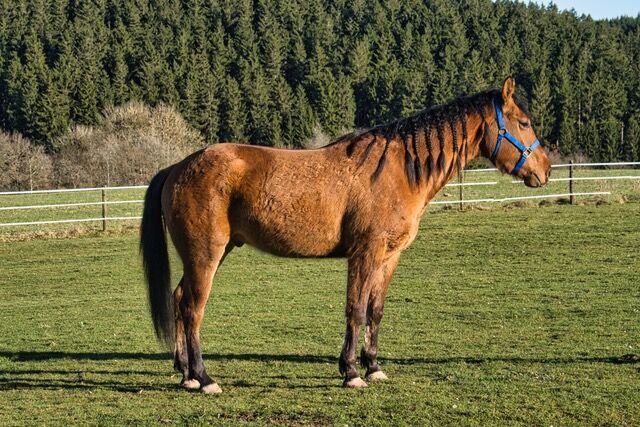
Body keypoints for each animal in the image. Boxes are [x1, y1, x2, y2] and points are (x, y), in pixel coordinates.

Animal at [140, 77, 551, 393]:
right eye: (523, 122)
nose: (545, 170)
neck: (397, 170)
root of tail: (177, 167)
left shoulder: (389, 256)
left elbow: (375, 310)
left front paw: (373, 367)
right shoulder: (364, 253)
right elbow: (355, 309)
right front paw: (351, 372)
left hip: (210, 254)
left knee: (179, 299)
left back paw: (185, 374)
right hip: (205, 254)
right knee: (193, 309)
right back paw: (204, 378)